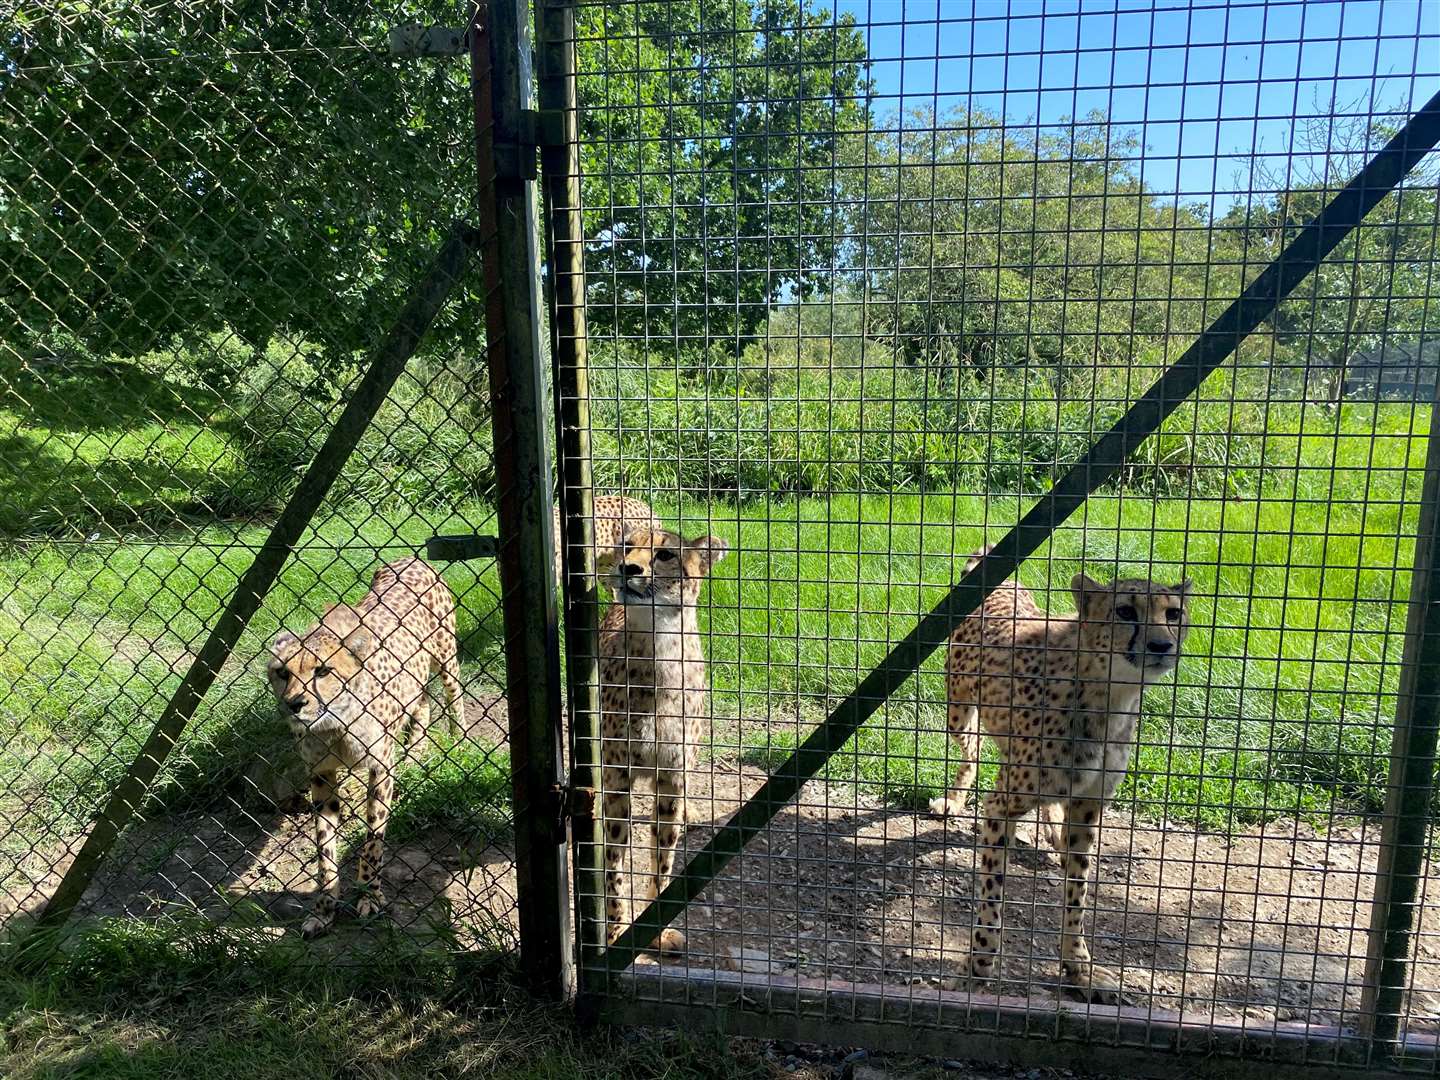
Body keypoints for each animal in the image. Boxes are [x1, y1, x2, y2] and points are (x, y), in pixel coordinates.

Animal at [270, 558, 466, 938]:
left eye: (322, 671)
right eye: (283, 673)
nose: (295, 704)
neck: (334, 723)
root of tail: (411, 558)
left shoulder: (380, 768)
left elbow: (373, 839)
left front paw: (370, 896)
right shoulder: (321, 776)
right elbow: (324, 849)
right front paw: (324, 908)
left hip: (445, 656)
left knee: (453, 695)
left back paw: (461, 740)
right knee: (421, 703)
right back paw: (415, 754)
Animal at [599, 527, 731, 956]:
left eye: (666, 555)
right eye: (627, 547)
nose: (628, 568)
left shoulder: (671, 777)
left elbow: (663, 856)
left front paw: (655, 927)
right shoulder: (618, 779)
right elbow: (615, 865)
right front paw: (617, 933)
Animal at [933, 550, 1192, 1008]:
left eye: (1173, 613)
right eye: (1125, 611)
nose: (1163, 645)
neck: (1109, 695)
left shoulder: (1088, 809)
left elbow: (1077, 894)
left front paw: (1080, 968)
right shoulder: (1001, 806)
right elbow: (992, 894)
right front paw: (978, 962)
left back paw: (1050, 830)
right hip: (959, 713)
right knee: (973, 752)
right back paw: (954, 800)